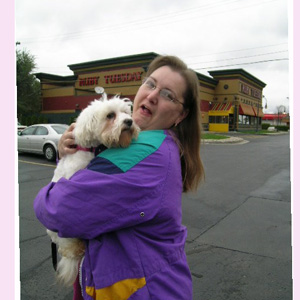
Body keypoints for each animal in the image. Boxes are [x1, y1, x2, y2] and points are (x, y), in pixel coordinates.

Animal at [47, 94, 140, 286]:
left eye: (126, 112)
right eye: (110, 115)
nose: (129, 121)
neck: (92, 149)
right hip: (63, 235)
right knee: (68, 246)